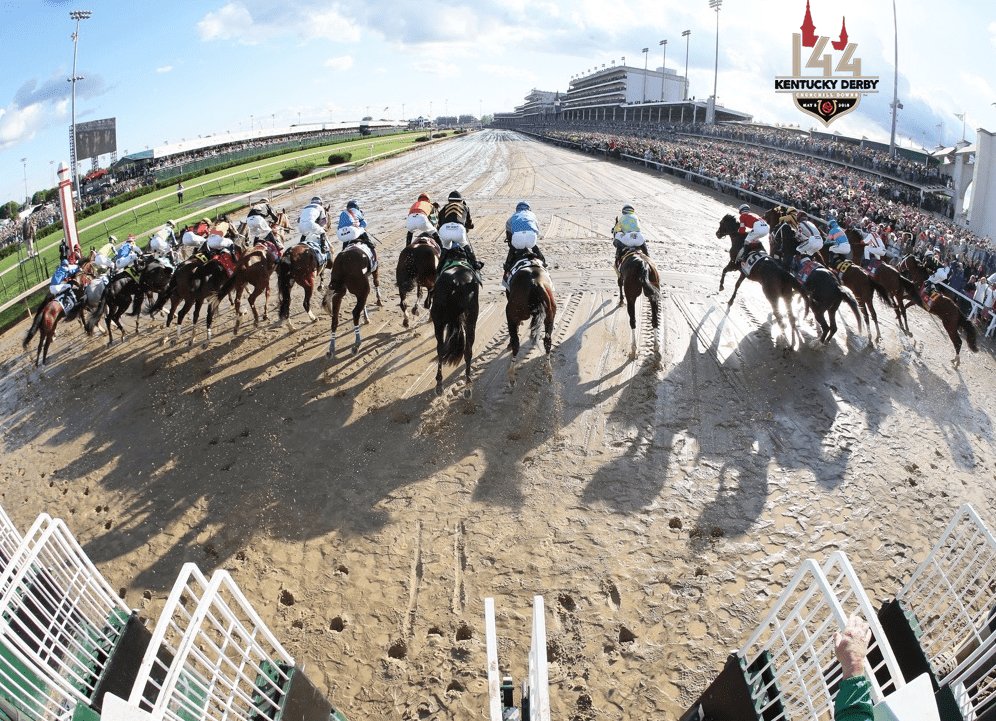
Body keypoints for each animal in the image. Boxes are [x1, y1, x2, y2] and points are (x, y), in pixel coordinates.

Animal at [431, 257, 480, 398]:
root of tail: (456, 283)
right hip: (470, 319)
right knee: (467, 351)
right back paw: (467, 385)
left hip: (439, 321)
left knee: (441, 349)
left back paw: (440, 385)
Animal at [716, 214, 808, 345]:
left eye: (722, 223)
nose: (717, 233)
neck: (739, 238)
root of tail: (784, 273)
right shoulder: (744, 271)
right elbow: (737, 284)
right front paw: (731, 300)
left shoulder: (734, 264)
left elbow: (724, 271)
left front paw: (721, 286)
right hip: (787, 296)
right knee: (791, 317)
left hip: (771, 294)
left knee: (779, 316)